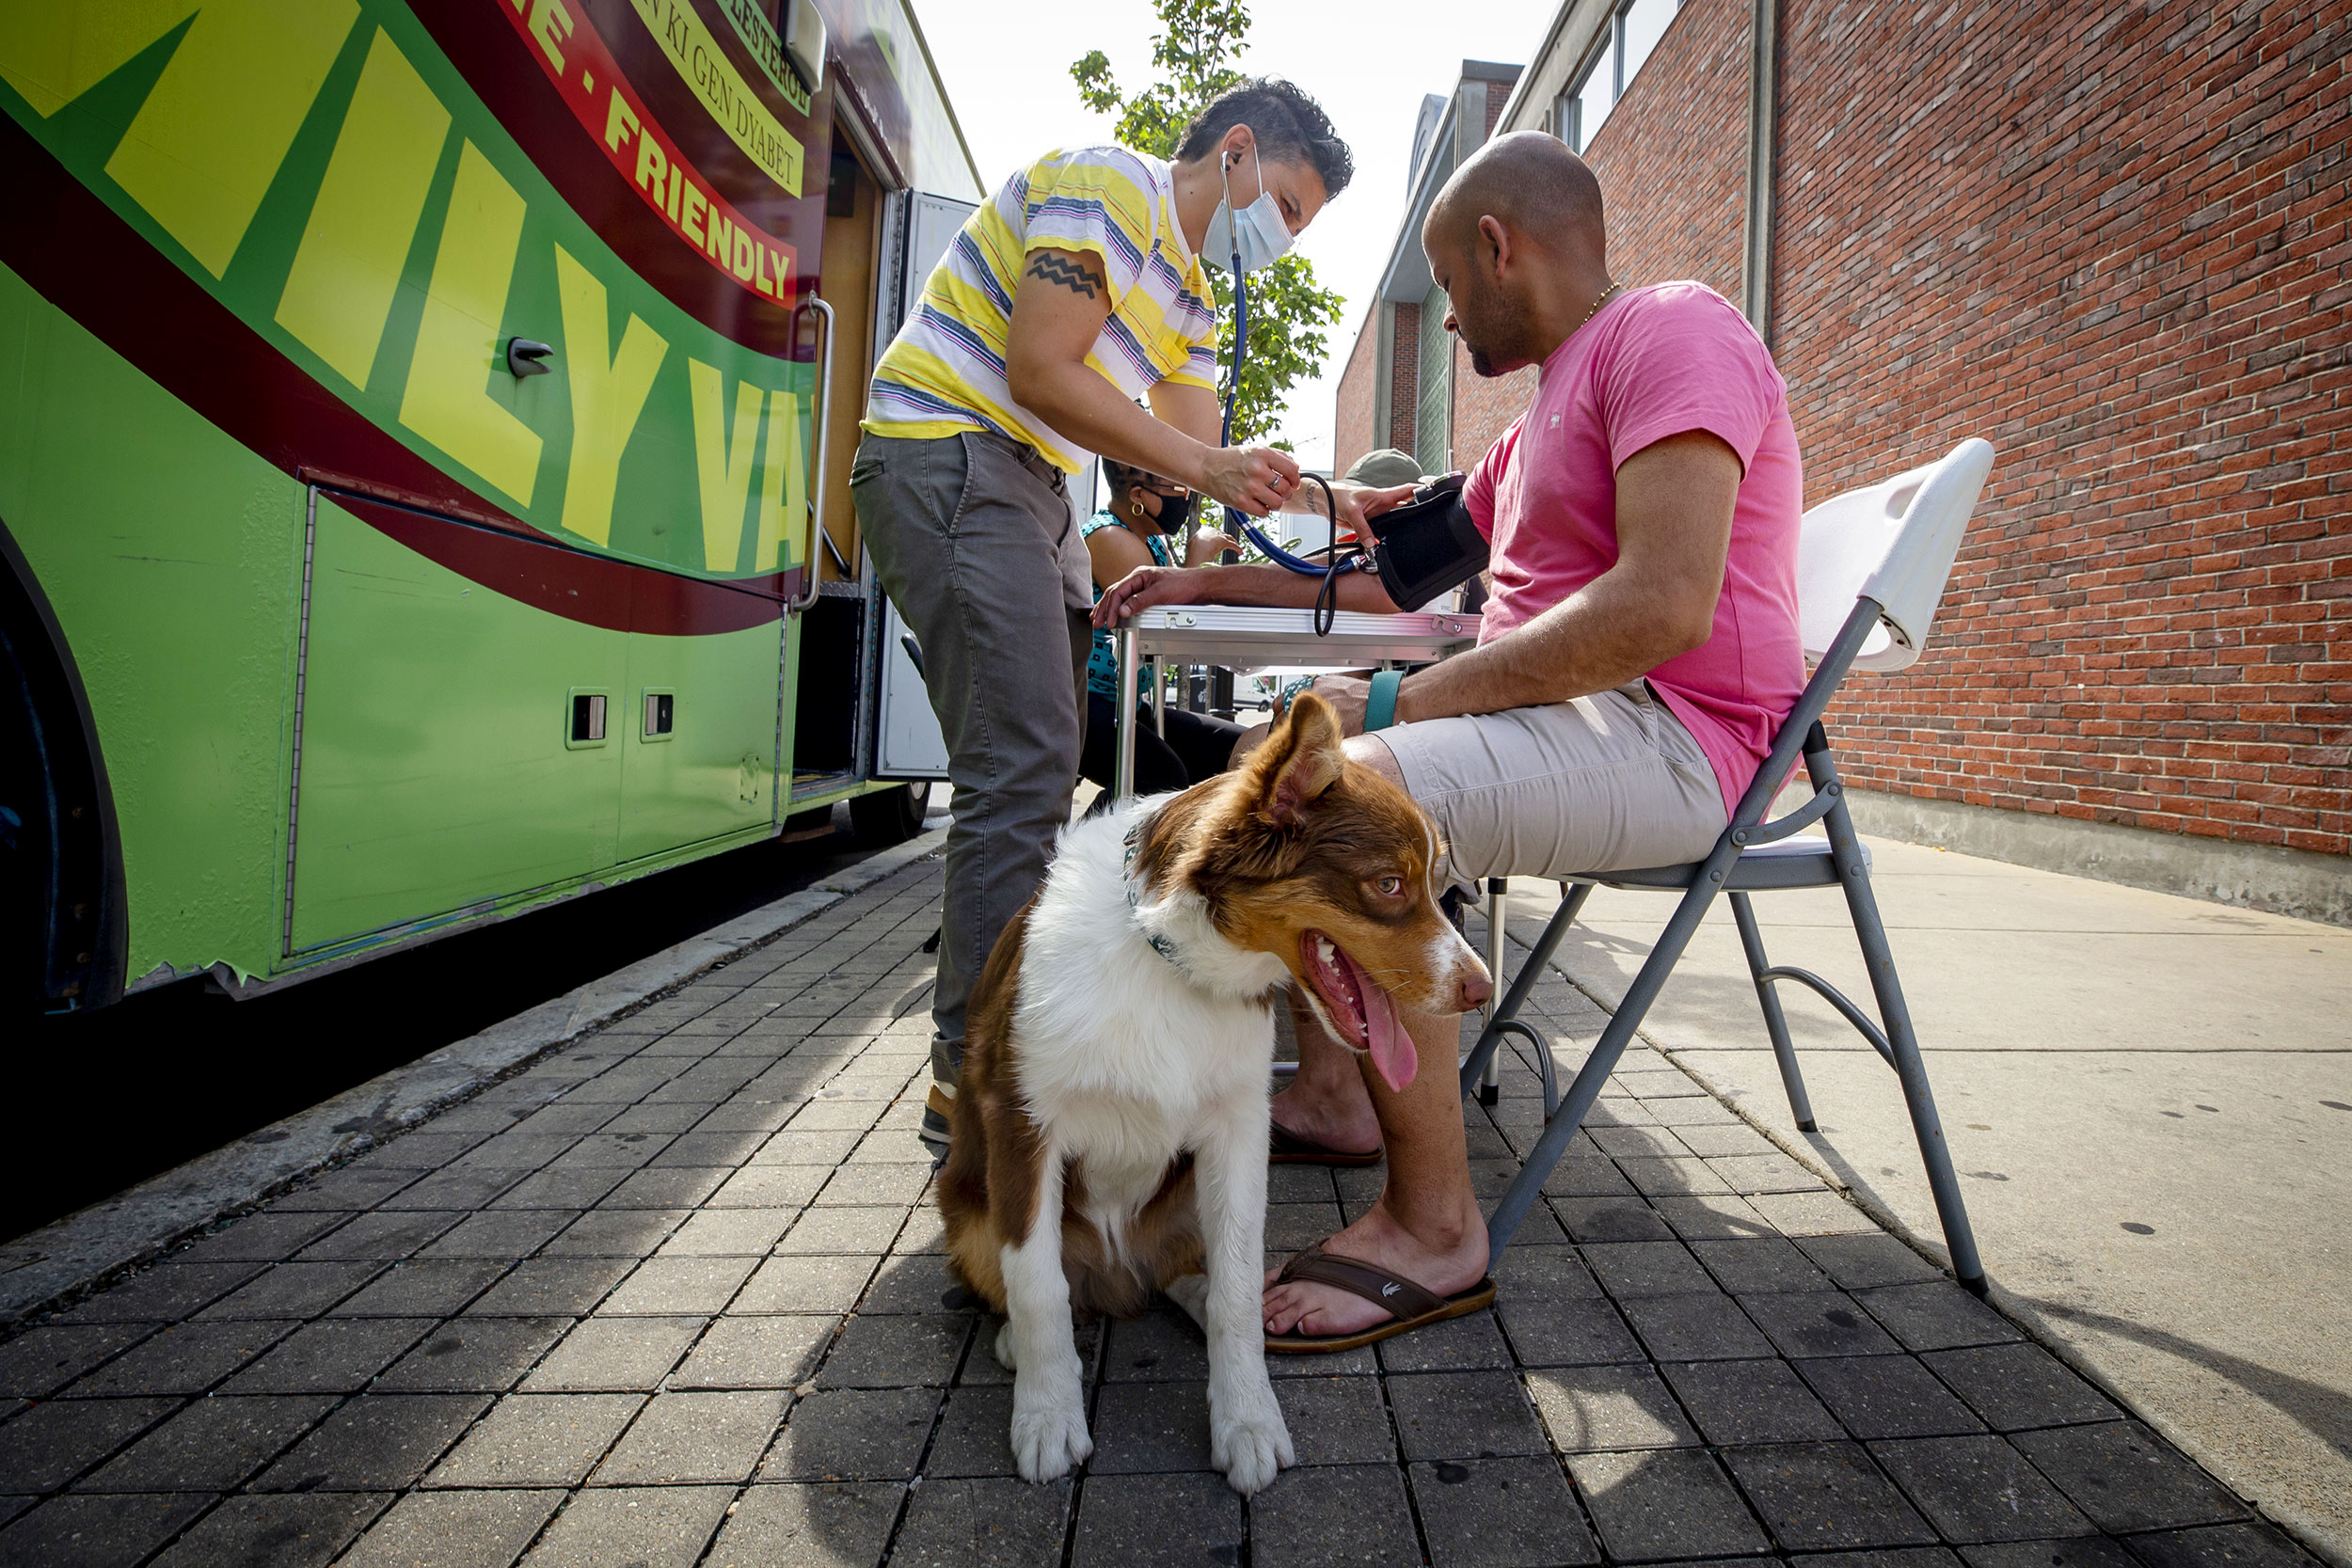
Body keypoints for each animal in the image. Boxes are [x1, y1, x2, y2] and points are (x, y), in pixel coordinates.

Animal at [936, 690, 1486, 1495]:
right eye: (1389, 884)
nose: (1483, 989)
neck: (1172, 964)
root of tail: (1118, 1279)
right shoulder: (1021, 1123)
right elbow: (1037, 1283)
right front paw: (1046, 1414)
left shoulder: (1239, 1129)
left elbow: (1234, 1285)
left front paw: (1247, 1418)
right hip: (966, 1204)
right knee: (1041, 1280)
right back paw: (1020, 1340)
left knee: (1191, 1271)